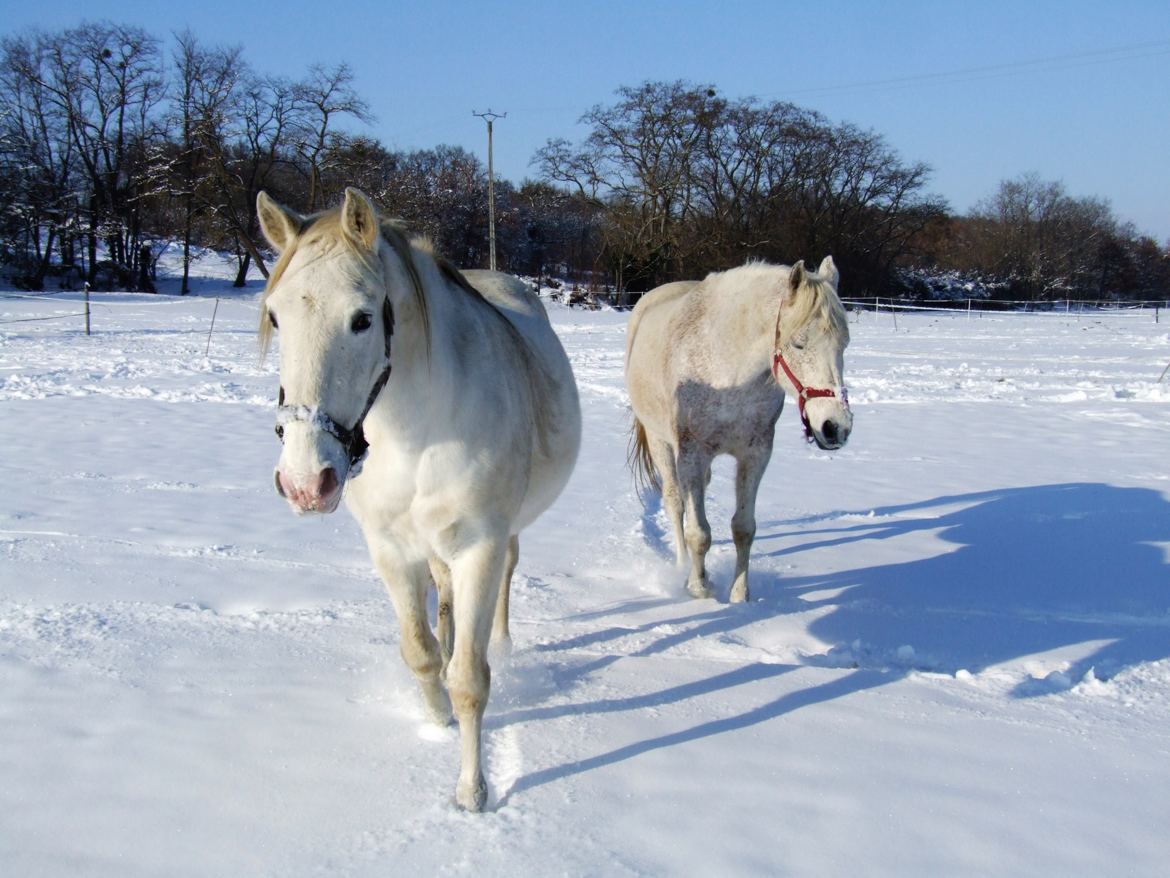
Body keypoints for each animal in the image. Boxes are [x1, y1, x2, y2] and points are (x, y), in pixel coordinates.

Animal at [259, 187, 580, 810]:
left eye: (362, 319)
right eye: (276, 315)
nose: (307, 482)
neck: (420, 429)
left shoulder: (479, 547)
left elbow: (470, 680)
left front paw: (472, 792)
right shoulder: (390, 549)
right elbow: (421, 651)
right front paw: (435, 723)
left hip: (502, 538)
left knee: (504, 582)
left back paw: (504, 645)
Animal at [627, 256, 856, 604]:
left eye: (844, 344)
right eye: (799, 344)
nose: (835, 427)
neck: (728, 370)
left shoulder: (755, 454)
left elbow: (744, 528)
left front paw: (739, 595)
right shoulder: (692, 454)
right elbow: (698, 533)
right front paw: (699, 588)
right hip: (660, 442)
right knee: (674, 501)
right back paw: (681, 566)